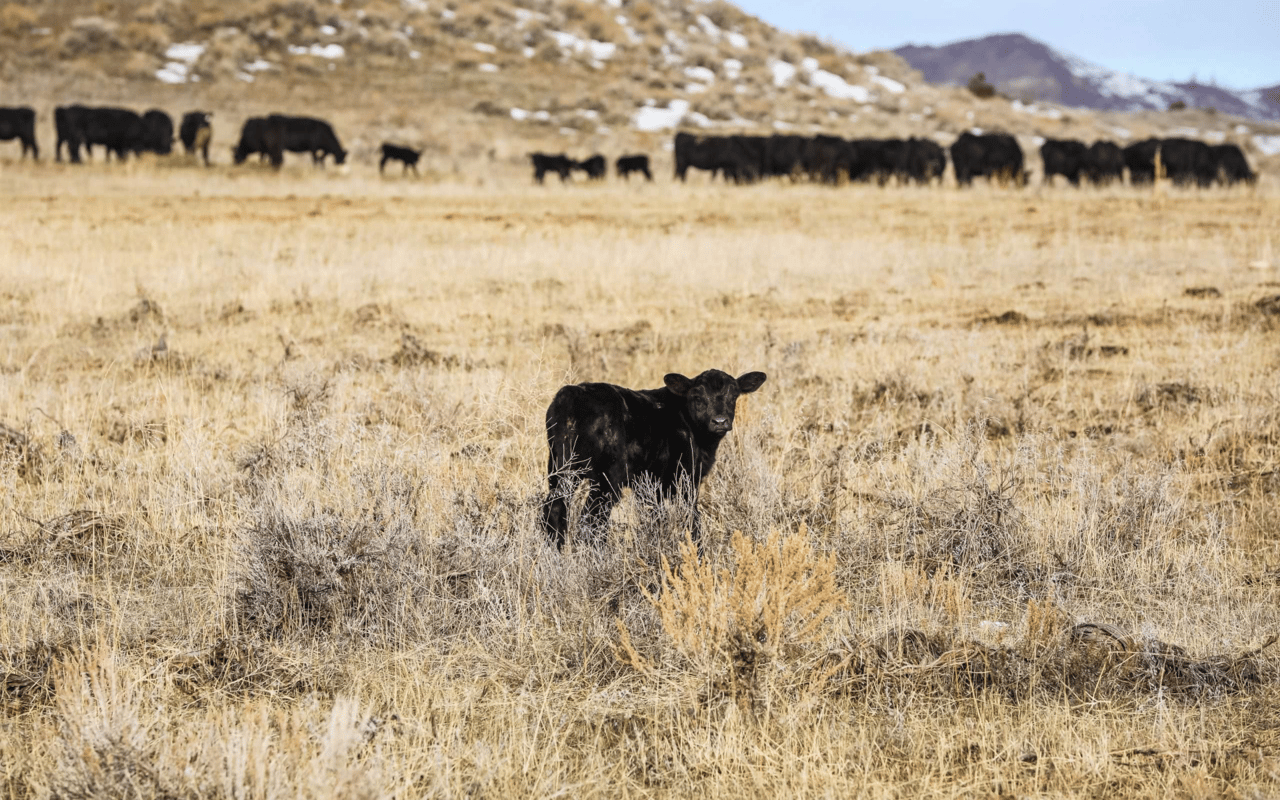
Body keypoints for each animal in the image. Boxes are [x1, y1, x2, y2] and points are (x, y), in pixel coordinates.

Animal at [540, 369, 767, 549]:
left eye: (734, 395)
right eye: (697, 397)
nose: (720, 421)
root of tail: (571, 394)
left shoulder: (649, 482)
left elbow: (655, 516)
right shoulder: (685, 478)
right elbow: (691, 517)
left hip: (561, 467)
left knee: (556, 508)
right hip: (608, 476)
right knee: (593, 516)